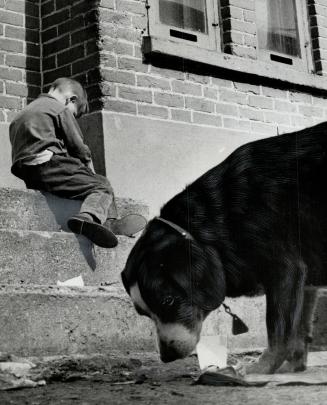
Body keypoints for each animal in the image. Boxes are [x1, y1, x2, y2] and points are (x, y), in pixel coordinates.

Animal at [122, 122, 327, 372]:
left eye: (168, 300)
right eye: (143, 313)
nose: (167, 357)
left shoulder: (285, 270)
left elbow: (279, 330)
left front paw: (262, 368)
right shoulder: (305, 281)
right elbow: (300, 330)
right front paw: (290, 368)